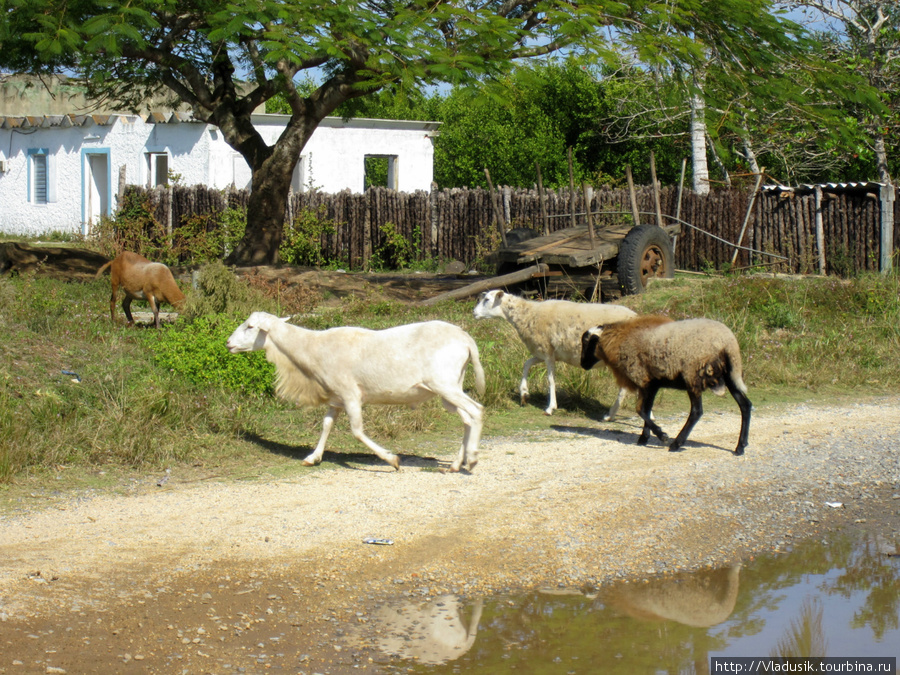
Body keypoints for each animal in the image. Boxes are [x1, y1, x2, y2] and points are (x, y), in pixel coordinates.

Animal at [229, 314, 488, 472]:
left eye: (250, 326)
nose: (228, 343)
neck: (312, 348)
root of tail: (467, 340)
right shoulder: (336, 397)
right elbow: (326, 425)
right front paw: (313, 457)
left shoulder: (350, 393)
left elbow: (356, 431)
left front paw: (392, 460)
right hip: (451, 387)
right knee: (467, 419)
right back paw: (456, 464)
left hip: (445, 384)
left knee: (476, 410)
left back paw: (473, 459)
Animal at [472, 292, 640, 420]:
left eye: (487, 299)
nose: (474, 313)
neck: (528, 314)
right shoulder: (542, 352)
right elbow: (526, 364)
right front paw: (524, 394)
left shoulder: (547, 352)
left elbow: (550, 380)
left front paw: (550, 407)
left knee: (626, 387)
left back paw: (611, 415)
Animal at [580, 316, 748, 454]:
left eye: (586, 343)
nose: (583, 365)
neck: (617, 340)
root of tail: (728, 342)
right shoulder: (653, 383)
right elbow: (647, 410)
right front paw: (643, 439)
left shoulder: (643, 380)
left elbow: (640, 410)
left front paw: (662, 435)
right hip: (730, 375)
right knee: (745, 405)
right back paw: (740, 447)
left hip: (693, 374)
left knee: (696, 411)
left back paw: (676, 444)